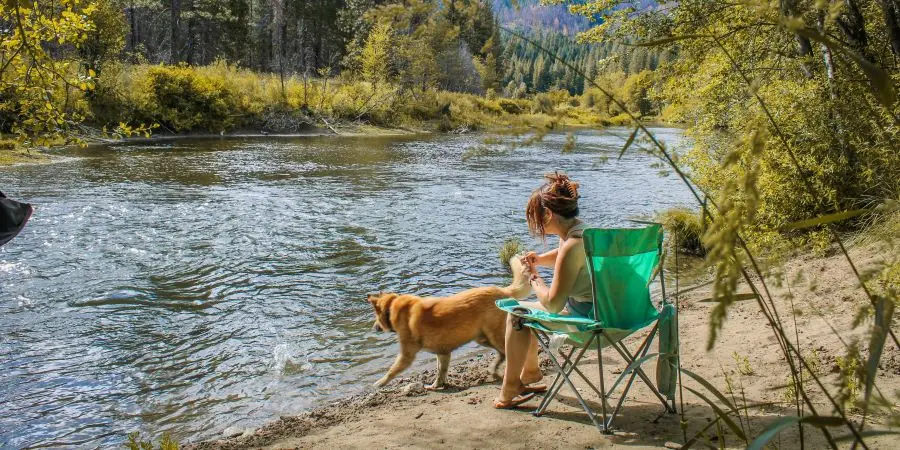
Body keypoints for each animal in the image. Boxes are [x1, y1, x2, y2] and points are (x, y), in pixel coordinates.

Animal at [368, 256, 532, 390]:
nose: (374, 328)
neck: (391, 308)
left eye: (376, 317)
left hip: (493, 335)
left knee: (509, 352)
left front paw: (378, 383)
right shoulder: (443, 353)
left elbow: (391, 371)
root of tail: (502, 291)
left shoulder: (407, 355)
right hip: (482, 338)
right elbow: (441, 371)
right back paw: (494, 370)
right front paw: (436, 385)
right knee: (502, 353)